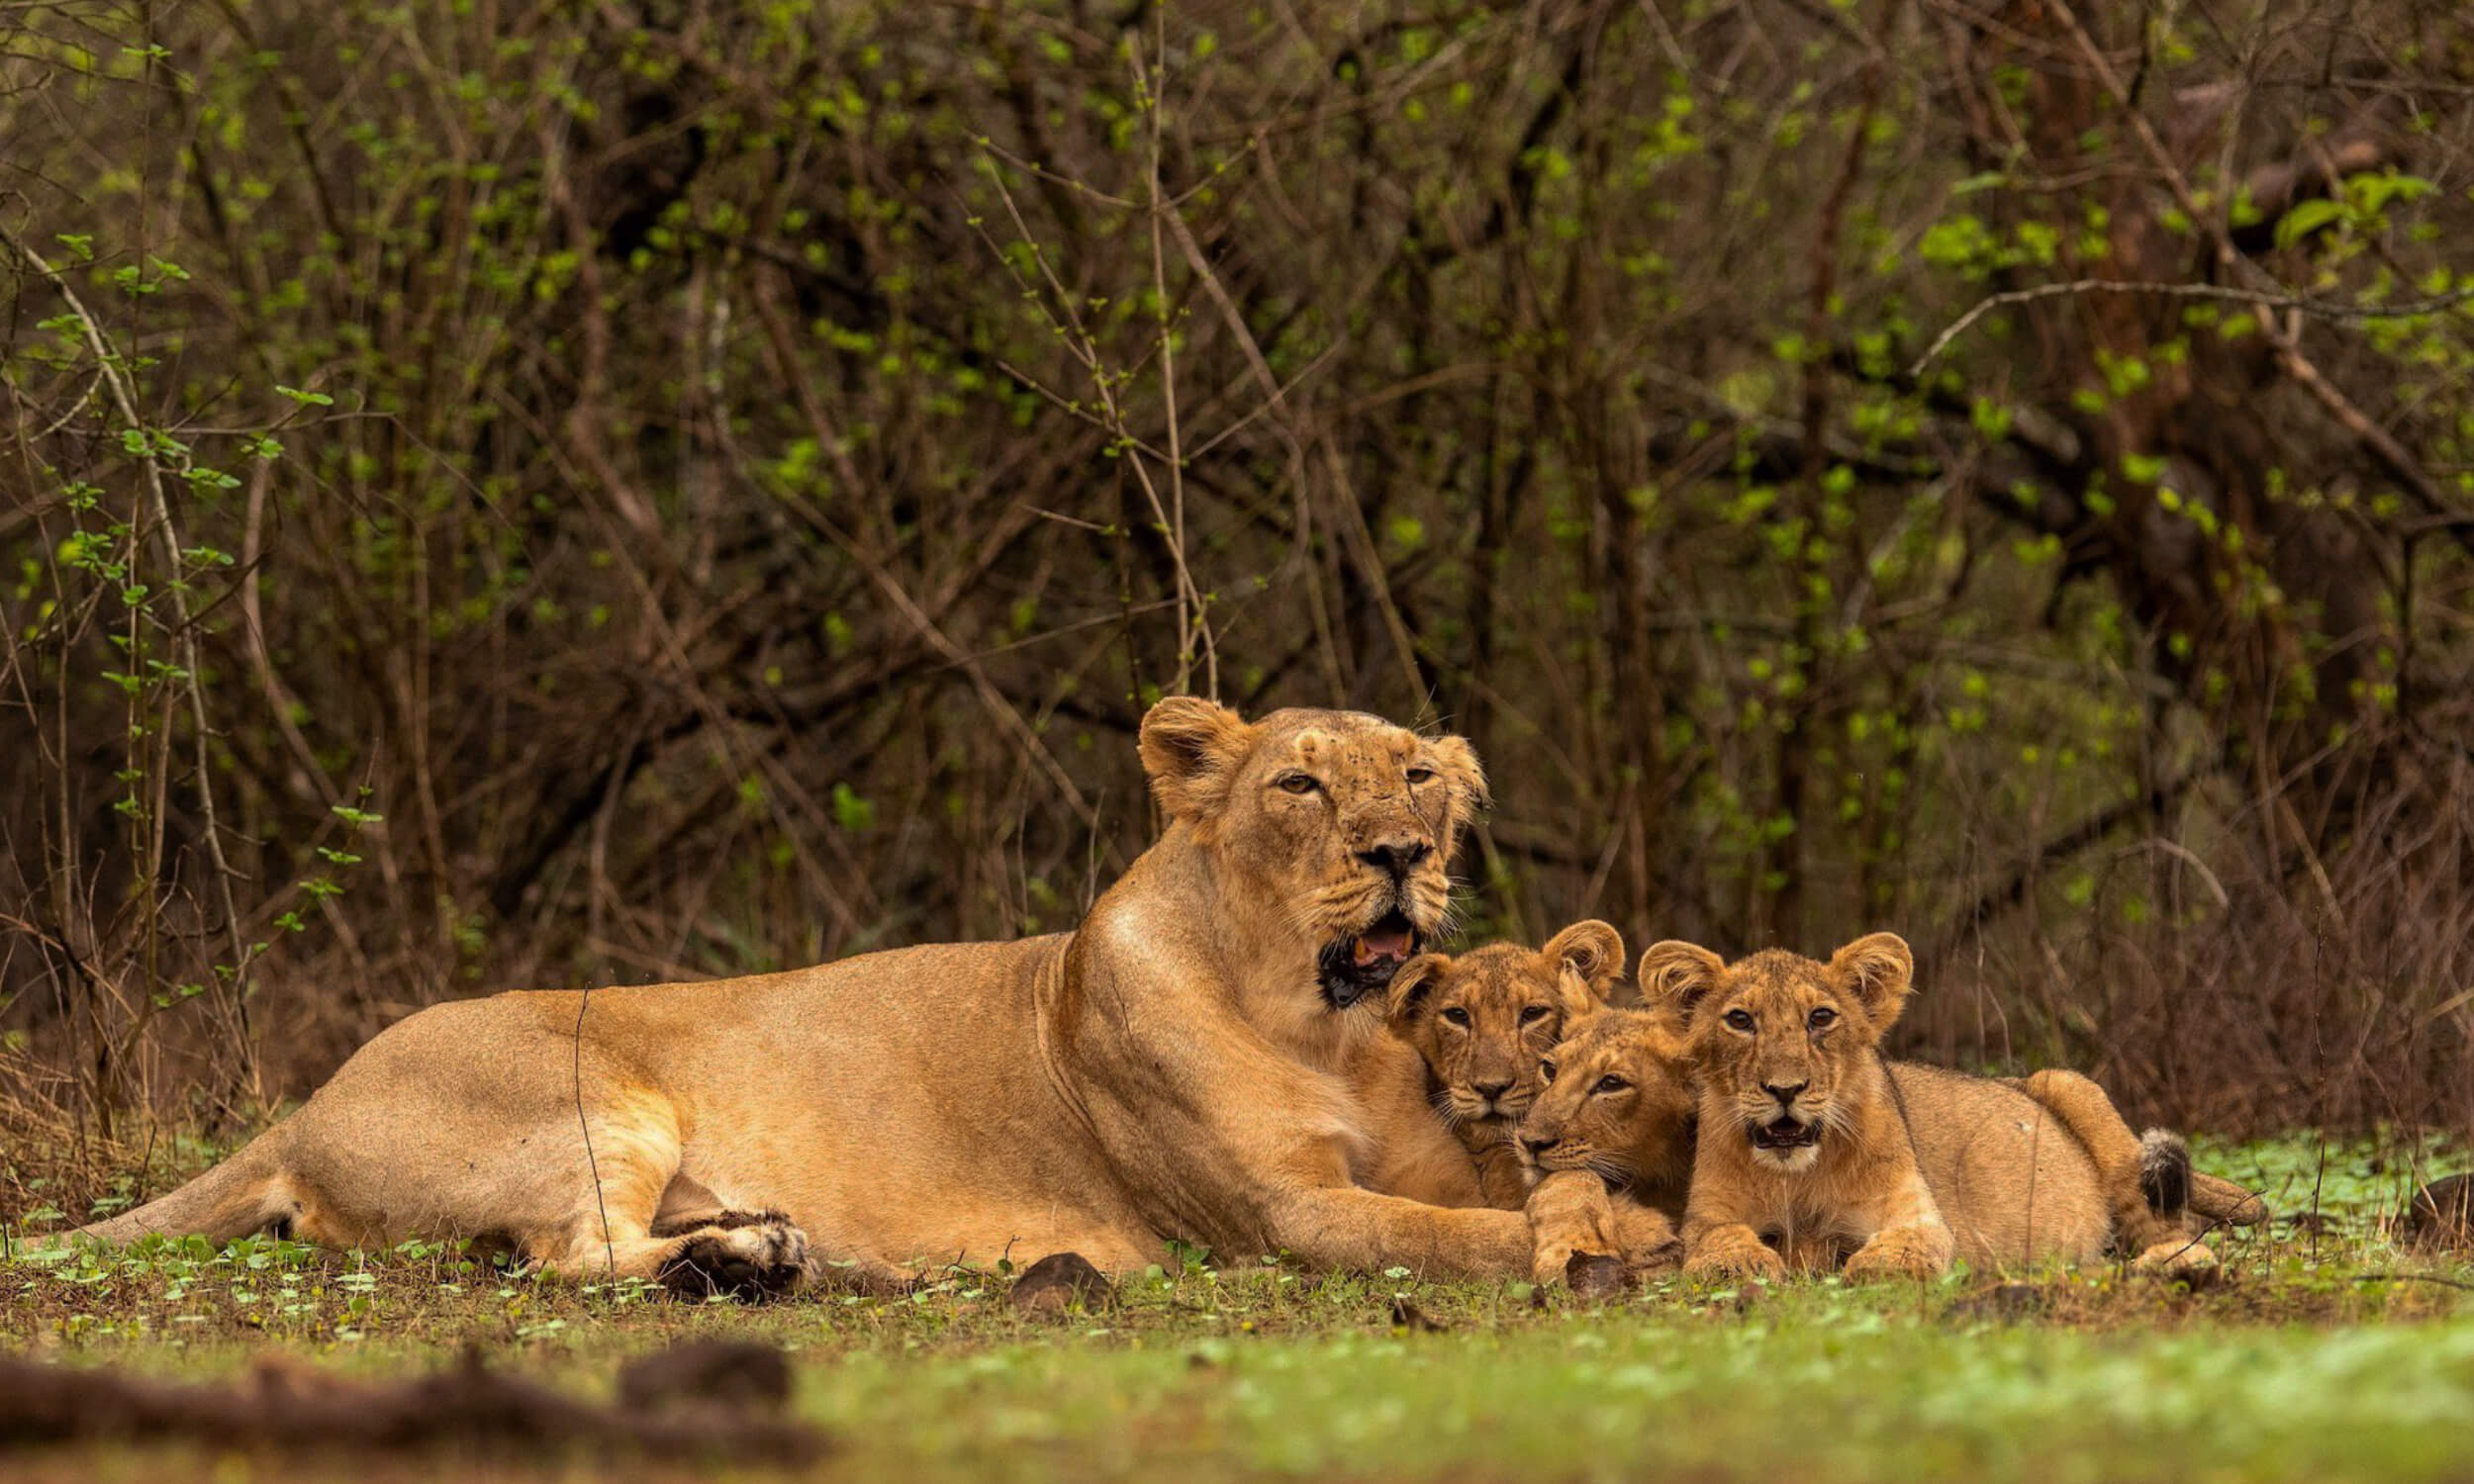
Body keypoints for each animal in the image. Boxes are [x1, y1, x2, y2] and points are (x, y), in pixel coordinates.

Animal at [68, 700, 1580, 1292]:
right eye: (1301, 784)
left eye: (1420, 776)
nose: (1400, 854)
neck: (1320, 1026)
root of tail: (306, 1104)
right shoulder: (1278, 1218)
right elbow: (1445, 1234)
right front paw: (1580, 1244)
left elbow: (1477, 1198)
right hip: (592, 1101)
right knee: (568, 1256)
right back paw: (752, 1264)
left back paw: (772, 1247)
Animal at [1636, 934, 2263, 1281]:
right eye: (1740, 1020)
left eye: (1821, 1018)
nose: (1785, 1089)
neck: (1798, 1176)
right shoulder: (1709, 1214)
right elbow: (1718, 1240)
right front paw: (1747, 1262)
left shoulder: (1918, 1214)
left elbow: (1908, 1246)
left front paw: (1869, 1265)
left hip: (2078, 1093)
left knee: (2169, 1229)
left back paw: (2174, 1265)